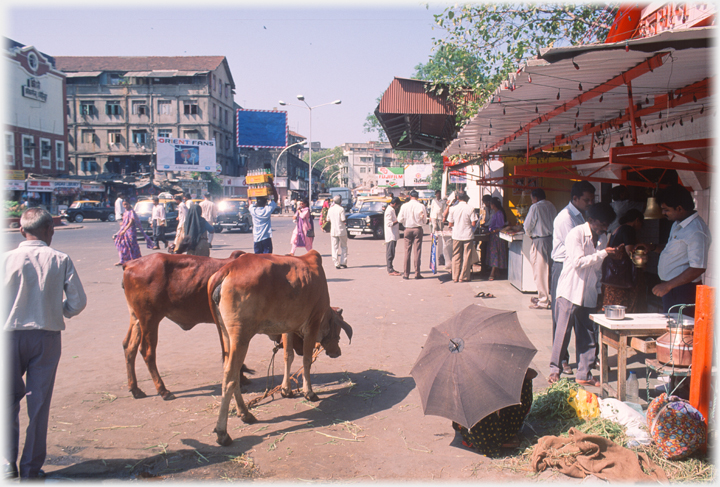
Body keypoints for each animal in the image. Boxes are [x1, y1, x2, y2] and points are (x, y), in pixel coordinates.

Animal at [122, 252, 246, 400]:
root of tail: (130, 264)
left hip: (136, 318)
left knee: (129, 346)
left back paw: (135, 389)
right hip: (149, 318)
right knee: (147, 351)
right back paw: (163, 390)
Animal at [207, 252, 352, 446]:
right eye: (338, 329)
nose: (337, 352)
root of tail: (226, 270)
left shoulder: (288, 327)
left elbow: (288, 356)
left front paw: (286, 390)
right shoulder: (312, 323)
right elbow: (306, 360)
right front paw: (309, 392)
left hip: (226, 335)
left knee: (234, 373)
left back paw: (245, 413)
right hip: (241, 335)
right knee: (230, 377)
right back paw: (223, 433)